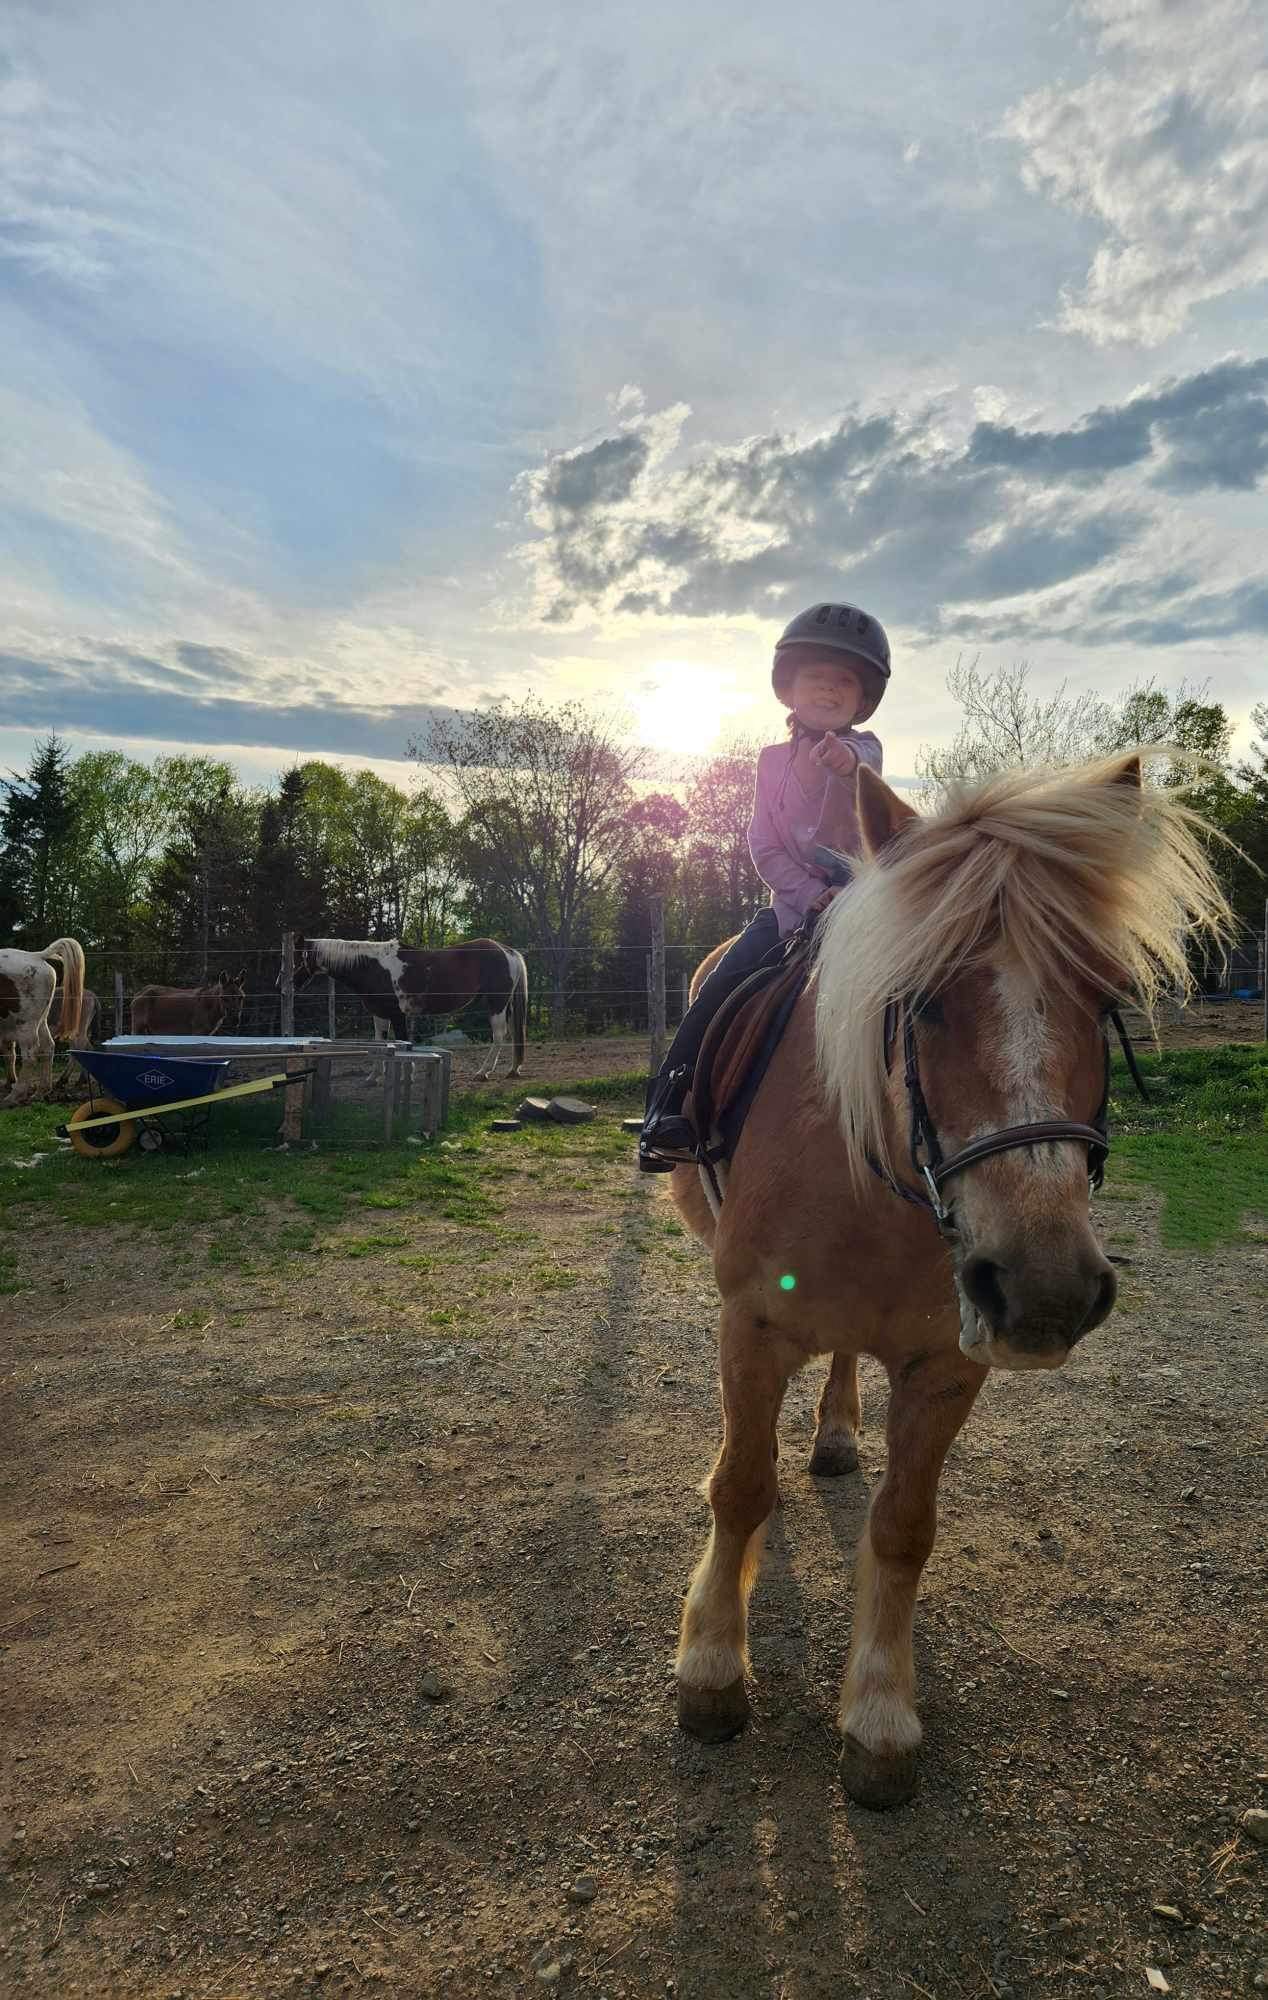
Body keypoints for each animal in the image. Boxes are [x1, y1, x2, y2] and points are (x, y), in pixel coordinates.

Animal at [0, 937, 87, 1101]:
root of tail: (36, 956)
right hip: (40, 1022)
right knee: (48, 1047)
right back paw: (41, 1090)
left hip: (25, 1024)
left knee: (29, 1056)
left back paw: (15, 1095)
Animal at [291, 936, 528, 1080]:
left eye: (298, 958)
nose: (289, 984)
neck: (373, 967)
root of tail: (507, 951)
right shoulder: (380, 1014)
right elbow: (380, 1042)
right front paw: (374, 1076)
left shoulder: (397, 1015)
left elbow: (403, 1044)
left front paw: (408, 1074)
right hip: (504, 1005)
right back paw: (512, 1069)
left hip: (496, 1003)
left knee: (499, 1035)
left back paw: (483, 1072)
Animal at [668, 756, 1229, 1809]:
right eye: (920, 999)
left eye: (1104, 997)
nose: (1046, 1290)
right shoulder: (749, 1326)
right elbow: (741, 1485)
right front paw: (712, 1671)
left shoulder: (947, 1363)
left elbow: (903, 1529)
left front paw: (881, 1717)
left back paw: (837, 1435)